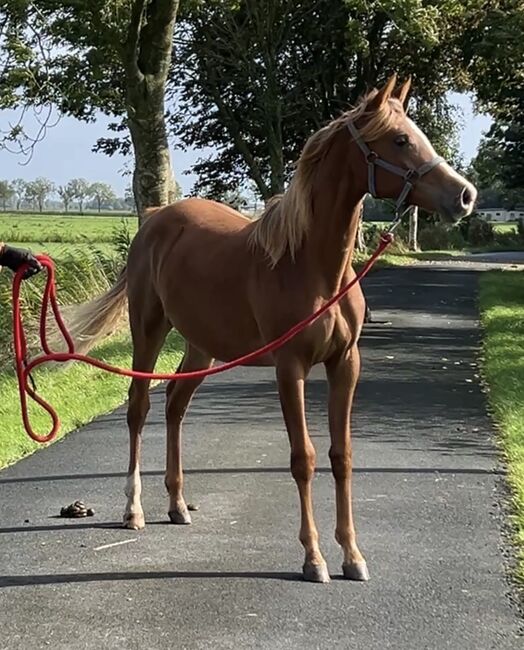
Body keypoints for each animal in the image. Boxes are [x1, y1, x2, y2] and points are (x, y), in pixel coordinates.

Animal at [66, 75, 477, 583]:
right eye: (400, 140)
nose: (464, 195)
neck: (310, 266)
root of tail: (156, 221)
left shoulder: (346, 364)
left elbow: (342, 457)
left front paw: (352, 555)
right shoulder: (290, 367)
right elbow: (304, 459)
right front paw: (314, 558)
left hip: (202, 345)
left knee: (176, 405)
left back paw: (178, 504)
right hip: (149, 329)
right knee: (139, 408)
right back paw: (134, 510)